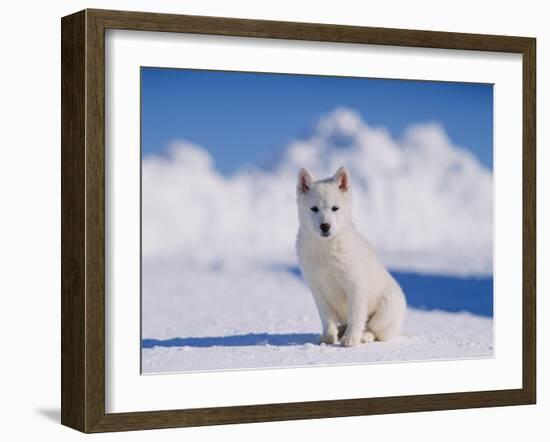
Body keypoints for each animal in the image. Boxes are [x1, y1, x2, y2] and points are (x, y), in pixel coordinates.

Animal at [296, 167, 408, 348]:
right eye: (314, 208)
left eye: (335, 208)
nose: (325, 226)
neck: (327, 248)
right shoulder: (317, 289)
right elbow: (327, 318)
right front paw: (328, 336)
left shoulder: (355, 285)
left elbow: (356, 315)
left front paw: (351, 339)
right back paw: (341, 331)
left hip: (386, 310)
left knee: (375, 330)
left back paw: (363, 336)